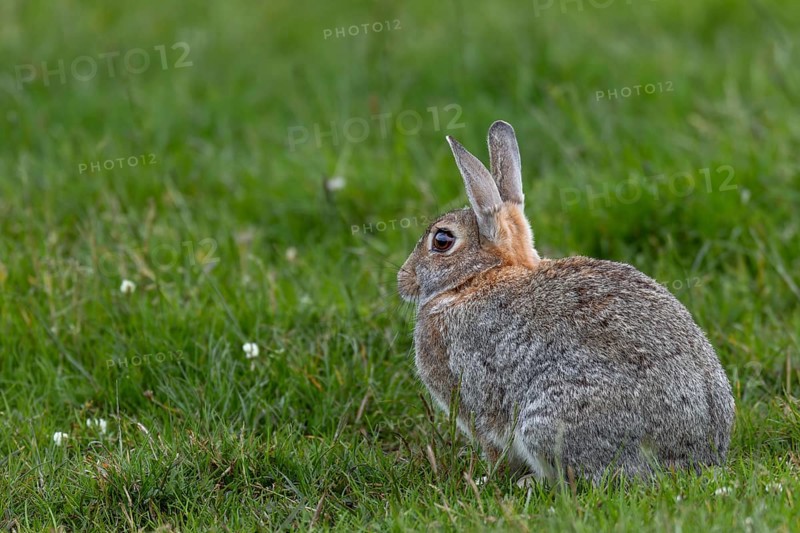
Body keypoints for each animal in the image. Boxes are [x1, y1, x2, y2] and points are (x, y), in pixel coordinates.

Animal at [397, 120, 735, 482]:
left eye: (441, 240)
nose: (402, 278)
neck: (478, 278)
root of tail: (692, 457)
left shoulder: (476, 400)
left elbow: (495, 446)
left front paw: (487, 479)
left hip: (546, 420)